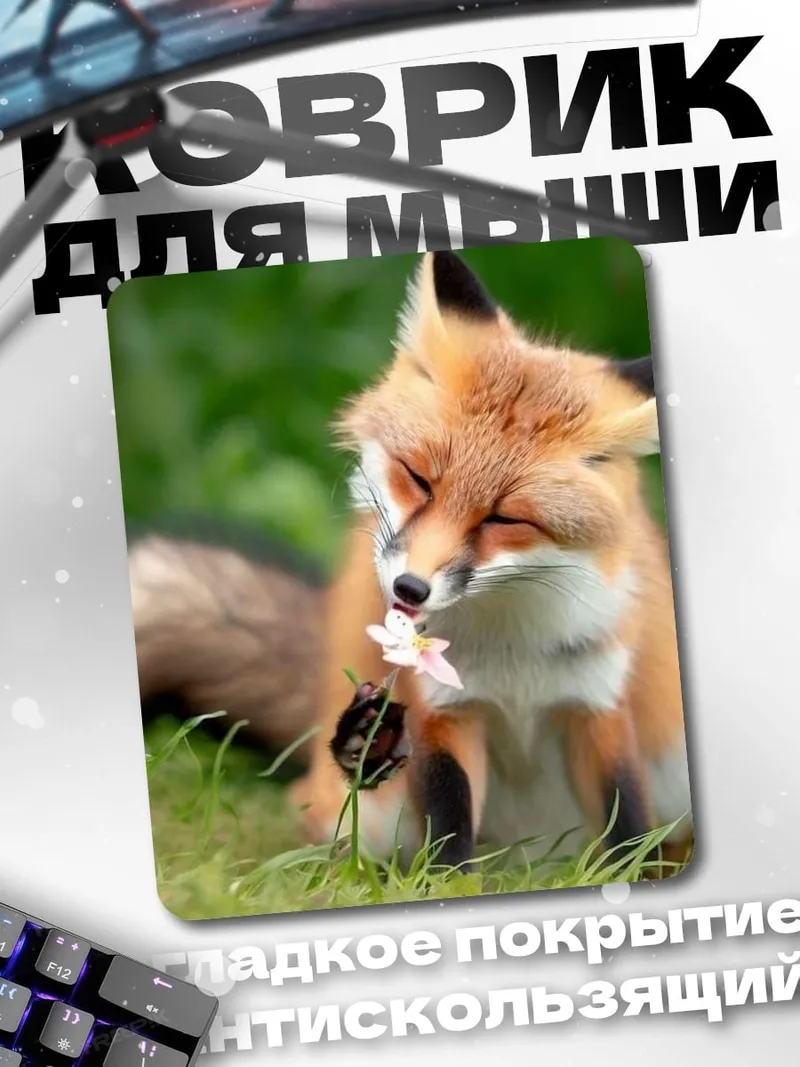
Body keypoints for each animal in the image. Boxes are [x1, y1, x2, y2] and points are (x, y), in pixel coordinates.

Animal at [130, 249, 693, 874]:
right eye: (420, 479)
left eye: (504, 519)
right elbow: (450, 831)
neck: (510, 649)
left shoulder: (597, 706)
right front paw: (452, 887)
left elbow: (627, 825)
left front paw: (638, 877)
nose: (409, 588)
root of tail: (526, 860)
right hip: (371, 818)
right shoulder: (444, 713)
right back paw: (363, 749)